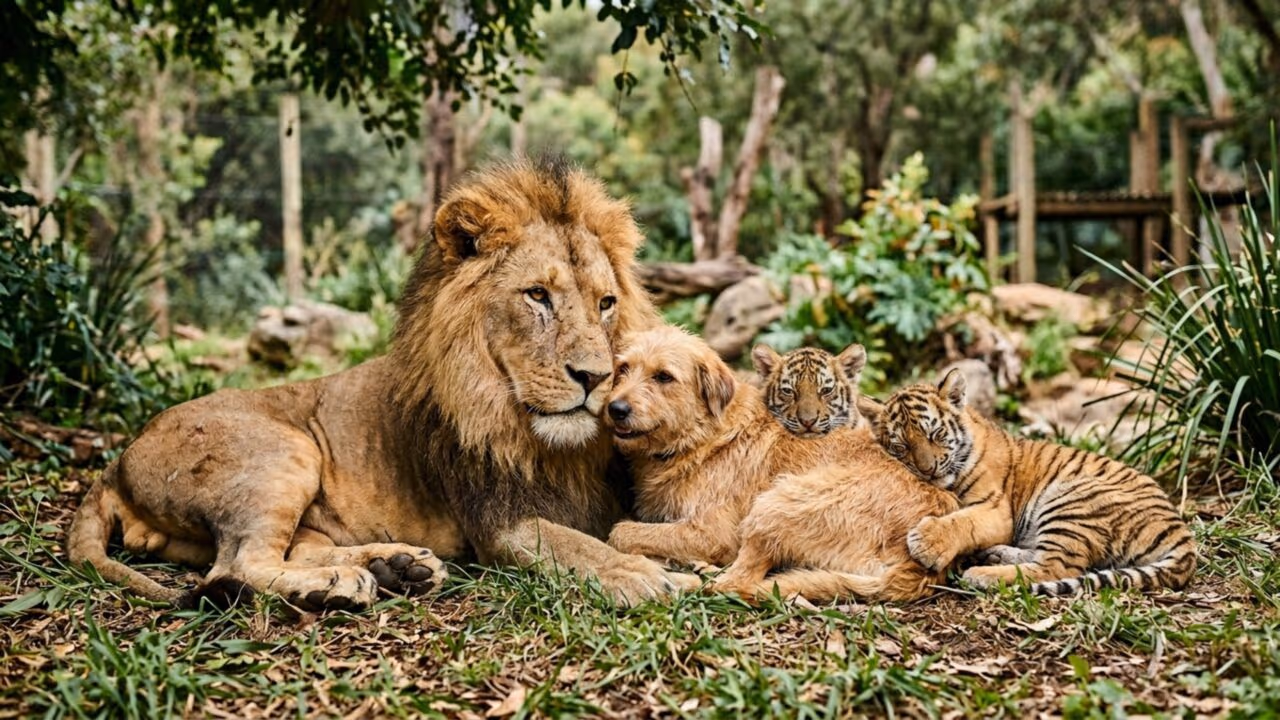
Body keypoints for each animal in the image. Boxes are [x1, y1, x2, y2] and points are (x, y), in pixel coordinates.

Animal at [68, 157, 696, 609]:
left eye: (606, 304)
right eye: (537, 296)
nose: (595, 377)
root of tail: (117, 461)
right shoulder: (499, 522)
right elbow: (575, 543)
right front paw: (645, 576)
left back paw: (394, 567)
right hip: (285, 450)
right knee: (238, 565)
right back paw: (343, 585)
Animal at [604, 326, 959, 602]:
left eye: (664, 377)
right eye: (622, 369)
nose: (615, 409)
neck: (700, 436)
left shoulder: (712, 533)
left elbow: (619, 531)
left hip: (776, 504)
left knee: (734, 582)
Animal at [867, 369, 1197, 596]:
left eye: (935, 434)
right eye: (901, 446)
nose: (928, 470)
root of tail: (1181, 532)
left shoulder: (997, 510)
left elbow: (963, 522)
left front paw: (927, 542)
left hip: (1070, 499)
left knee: (1056, 567)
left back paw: (982, 575)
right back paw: (995, 555)